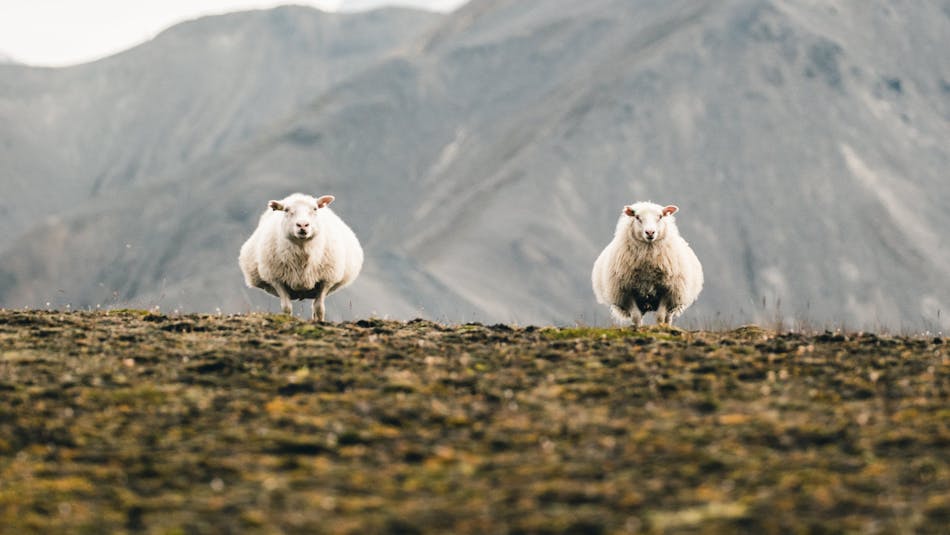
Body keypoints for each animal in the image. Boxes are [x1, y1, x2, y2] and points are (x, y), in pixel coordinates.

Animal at [242, 196, 364, 324]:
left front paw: (320, 321)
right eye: (286, 210)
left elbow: (319, 308)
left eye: (315, 209)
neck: (302, 251)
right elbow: (286, 308)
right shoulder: (277, 280)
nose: (302, 225)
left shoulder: (326, 280)